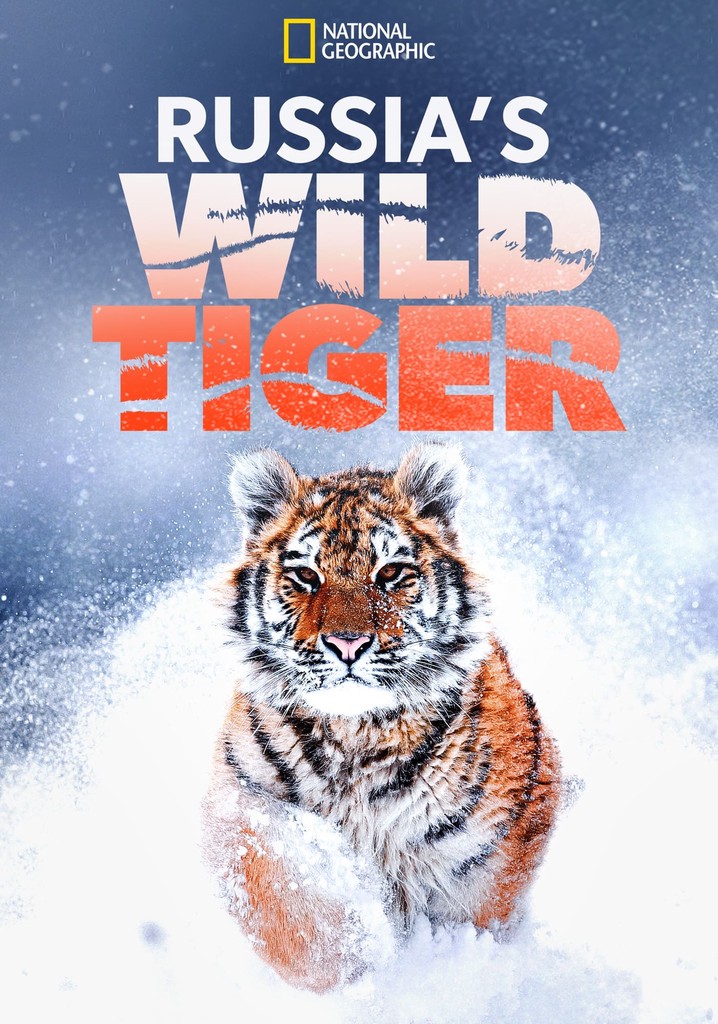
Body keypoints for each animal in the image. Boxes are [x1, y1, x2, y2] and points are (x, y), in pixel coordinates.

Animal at [201, 443, 561, 992]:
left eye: (390, 573)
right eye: (306, 576)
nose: (347, 643)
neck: (357, 736)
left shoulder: (492, 848)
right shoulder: (237, 799)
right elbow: (280, 889)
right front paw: (353, 957)